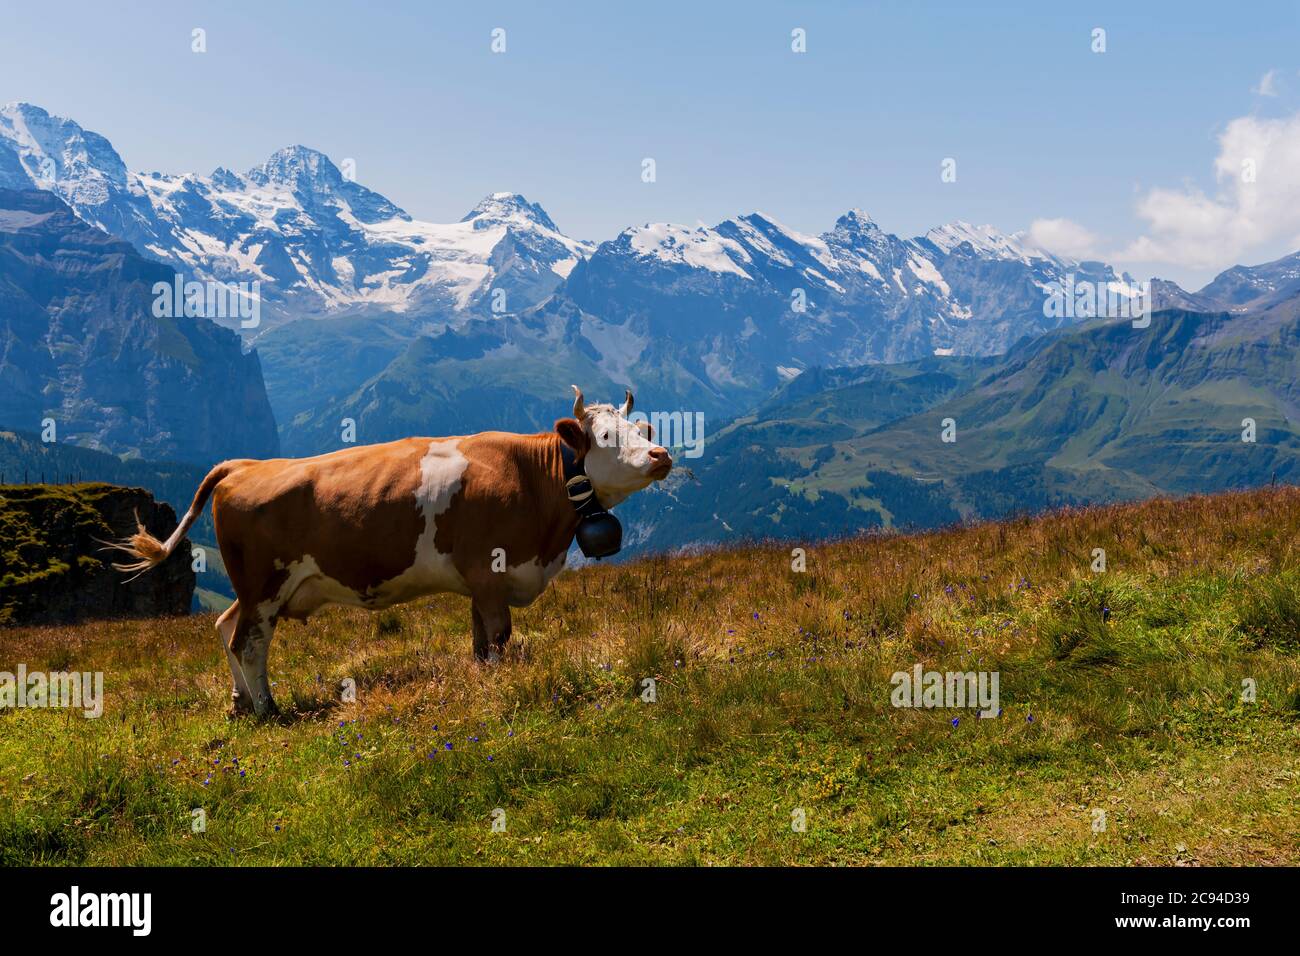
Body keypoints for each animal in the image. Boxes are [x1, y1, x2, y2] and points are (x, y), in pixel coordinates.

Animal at [107, 387, 672, 718]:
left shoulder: (477, 583)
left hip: (253, 589)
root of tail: (244, 465)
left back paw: (240, 702)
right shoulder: (490, 573)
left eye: (642, 430)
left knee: (225, 627)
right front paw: (497, 686)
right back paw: (268, 708)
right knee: (248, 641)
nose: (661, 454)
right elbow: (498, 639)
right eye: (606, 435)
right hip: (264, 586)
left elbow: (479, 642)